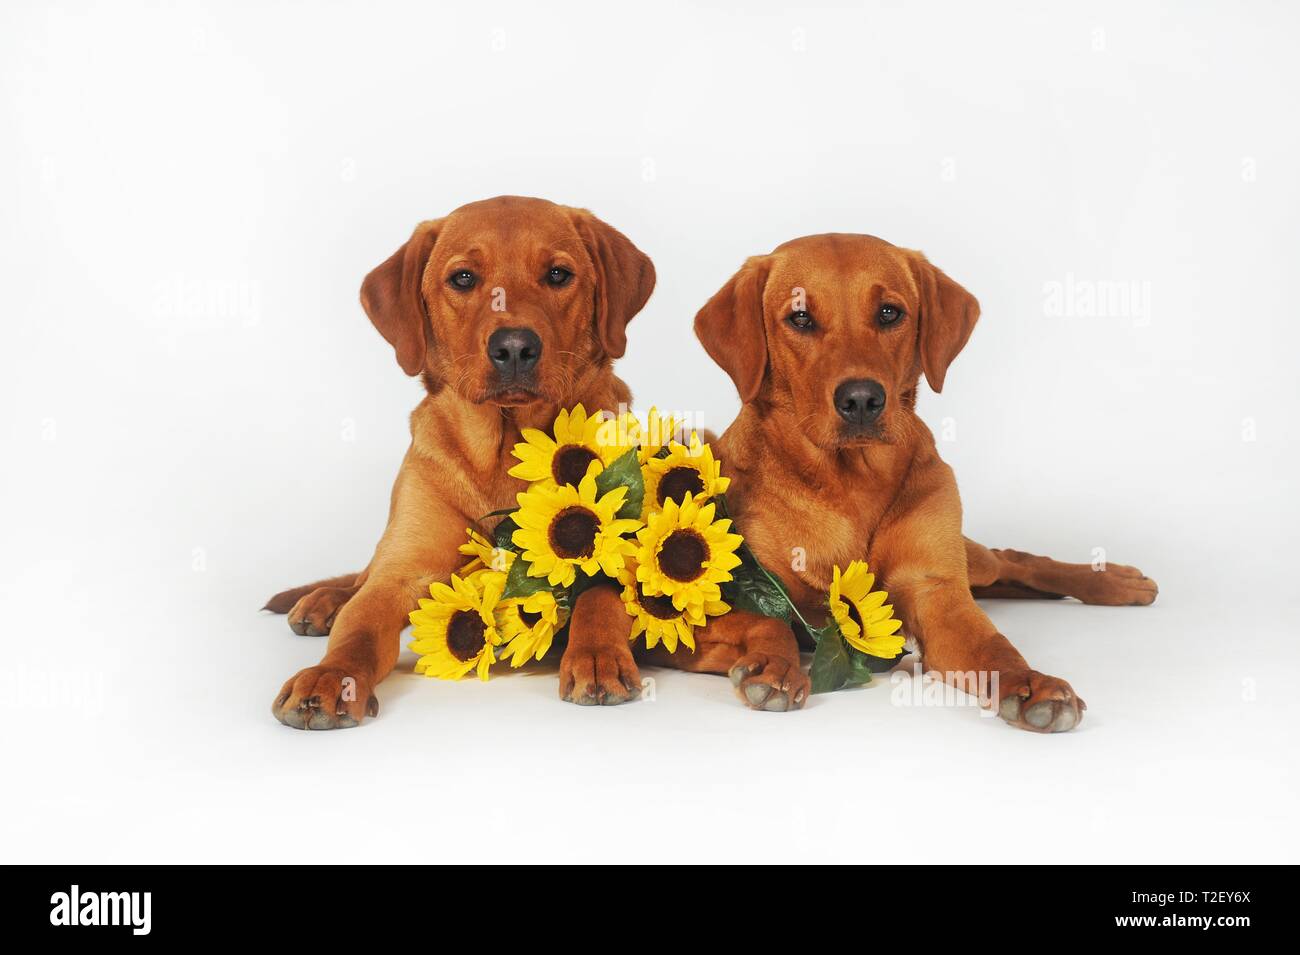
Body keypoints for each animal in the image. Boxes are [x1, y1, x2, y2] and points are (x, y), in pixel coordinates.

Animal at [263, 197, 655, 727]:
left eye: (558, 274)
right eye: (464, 278)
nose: (514, 347)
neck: (503, 451)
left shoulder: (619, 545)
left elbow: (600, 596)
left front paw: (597, 654)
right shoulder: (402, 571)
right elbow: (359, 628)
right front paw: (330, 676)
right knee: (360, 578)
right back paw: (324, 601)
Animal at [629, 233, 1159, 732]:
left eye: (889, 313)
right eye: (800, 318)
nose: (862, 399)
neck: (852, 482)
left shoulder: (936, 594)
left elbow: (996, 649)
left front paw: (1032, 685)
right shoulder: (705, 613)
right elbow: (766, 623)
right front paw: (774, 666)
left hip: (965, 555)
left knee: (1010, 559)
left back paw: (1113, 580)